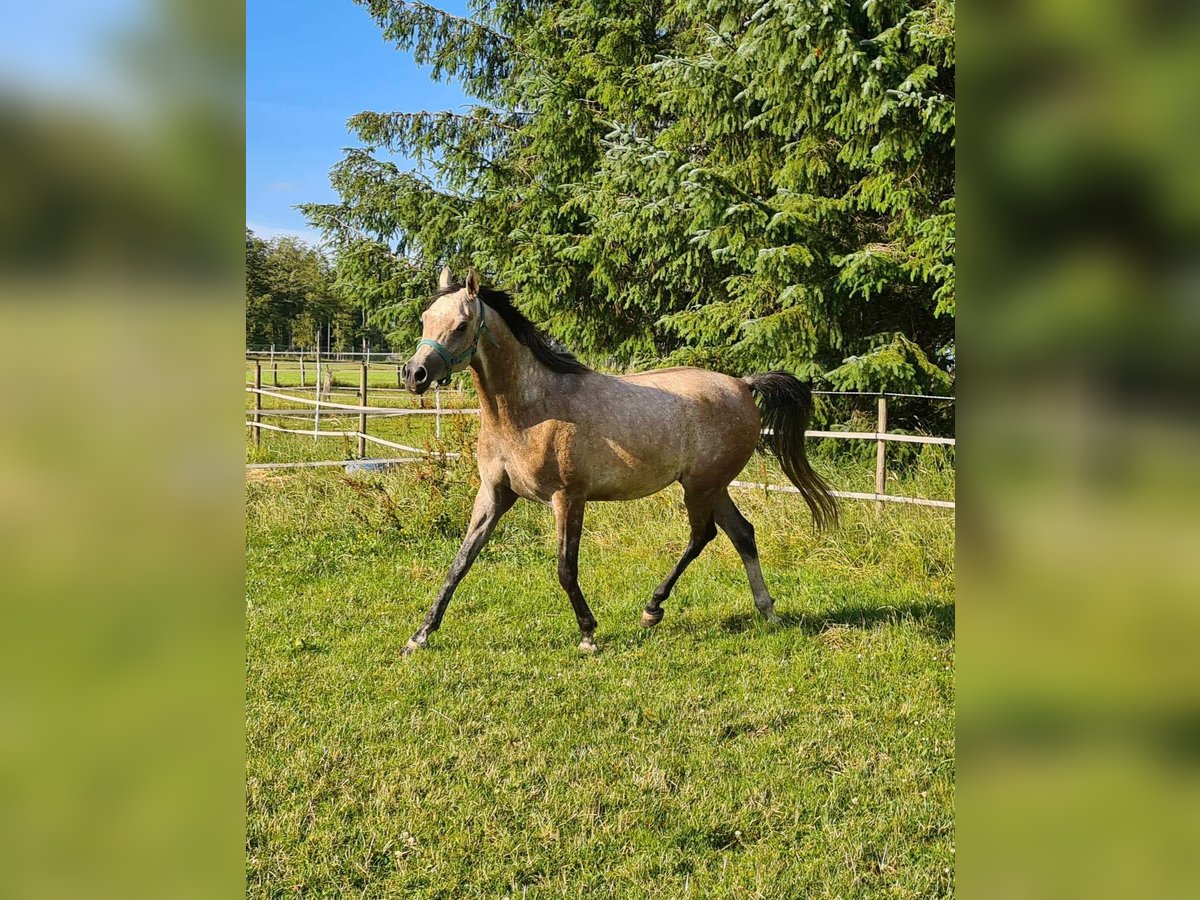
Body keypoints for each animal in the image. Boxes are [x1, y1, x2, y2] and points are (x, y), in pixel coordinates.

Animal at [398, 267, 840, 657]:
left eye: (461, 325)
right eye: (425, 318)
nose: (414, 374)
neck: (529, 411)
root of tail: (743, 385)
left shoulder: (568, 498)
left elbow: (565, 568)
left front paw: (588, 635)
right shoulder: (494, 494)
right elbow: (461, 562)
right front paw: (420, 636)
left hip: (700, 487)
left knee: (704, 536)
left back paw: (652, 609)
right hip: (713, 487)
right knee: (742, 534)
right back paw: (766, 611)